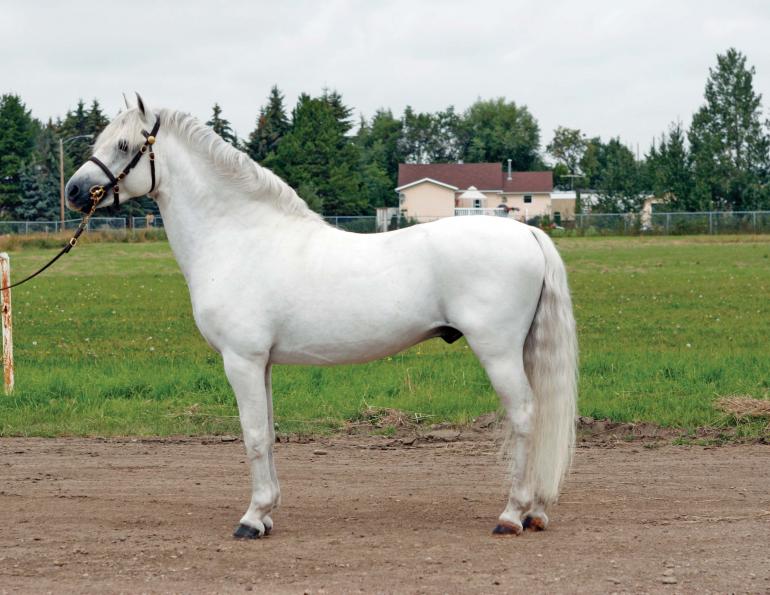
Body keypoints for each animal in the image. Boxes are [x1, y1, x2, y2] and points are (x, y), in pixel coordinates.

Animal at [65, 94, 578, 539]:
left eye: (124, 145)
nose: (73, 191)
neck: (238, 237)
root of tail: (527, 234)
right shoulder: (262, 364)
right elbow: (269, 434)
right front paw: (267, 513)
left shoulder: (241, 361)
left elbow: (253, 435)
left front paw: (251, 519)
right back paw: (533, 512)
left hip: (498, 351)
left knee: (525, 415)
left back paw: (511, 515)